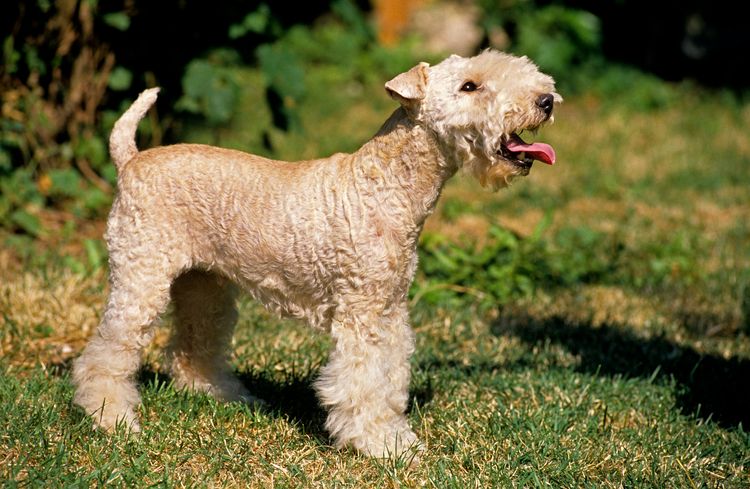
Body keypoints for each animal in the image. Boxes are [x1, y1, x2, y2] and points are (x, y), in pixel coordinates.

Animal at [73, 49, 560, 458]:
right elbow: (362, 383)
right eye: (469, 86)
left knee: (193, 348)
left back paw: (229, 396)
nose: (546, 99)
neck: (386, 185)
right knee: (107, 353)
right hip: (141, 278)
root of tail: (130, 160)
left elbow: (391, 378)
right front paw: (383, 446)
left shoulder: (389, 309)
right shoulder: (361, 315)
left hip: (204, 286)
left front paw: (395, 435)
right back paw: (113, 419)